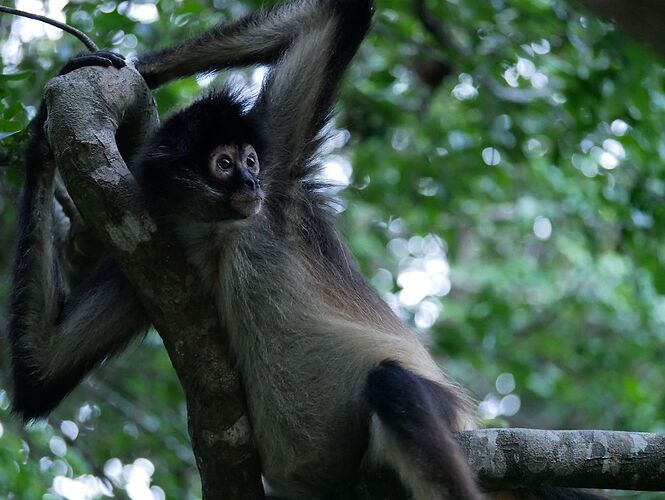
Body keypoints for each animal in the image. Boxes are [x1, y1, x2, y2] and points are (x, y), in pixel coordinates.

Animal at [7, 0, 604, 500]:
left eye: (250, 159)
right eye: (224, 164)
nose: (248, 182)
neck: (219, 233)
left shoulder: (280, 187)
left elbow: (337, 15)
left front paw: (126, 67)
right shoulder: (147, 259)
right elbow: (40, 371)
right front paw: (40, 139)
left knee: (394, 385)